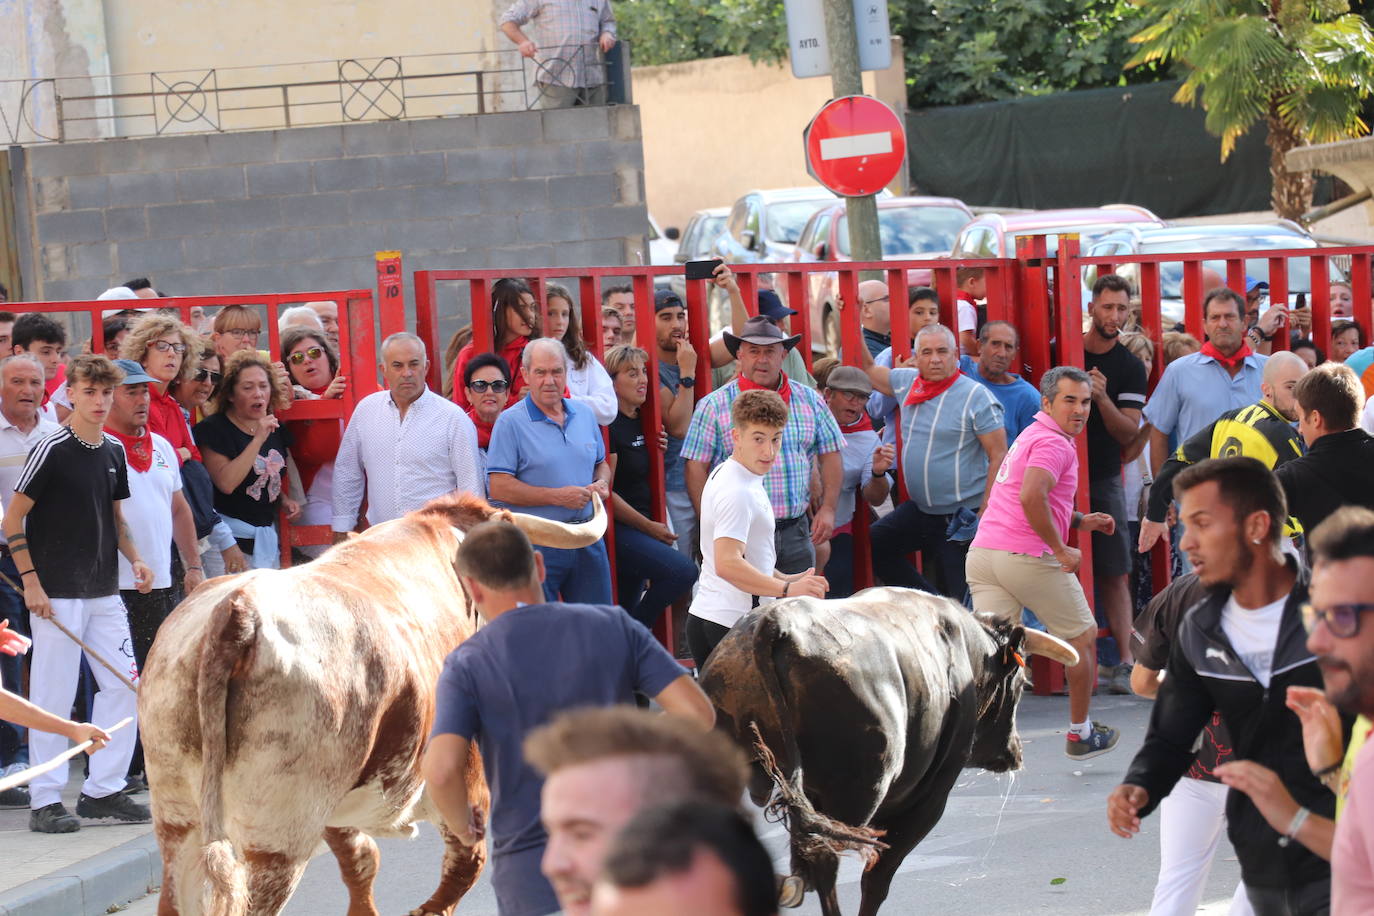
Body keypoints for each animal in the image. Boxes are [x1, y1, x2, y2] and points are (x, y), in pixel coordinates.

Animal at [136, 494, 604, 916]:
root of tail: (239, 611)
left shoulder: (339, 809)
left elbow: (361, 861)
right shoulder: (465, 772)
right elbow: (465, 861)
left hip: (179, 818)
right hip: (279, 837)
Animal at [703, 587, 1077, 916]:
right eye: (1022, 684)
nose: (1014, 752)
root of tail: (776, 622)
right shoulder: (929, 797)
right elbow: (878, 878)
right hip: (858, 792)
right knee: (828, 859)